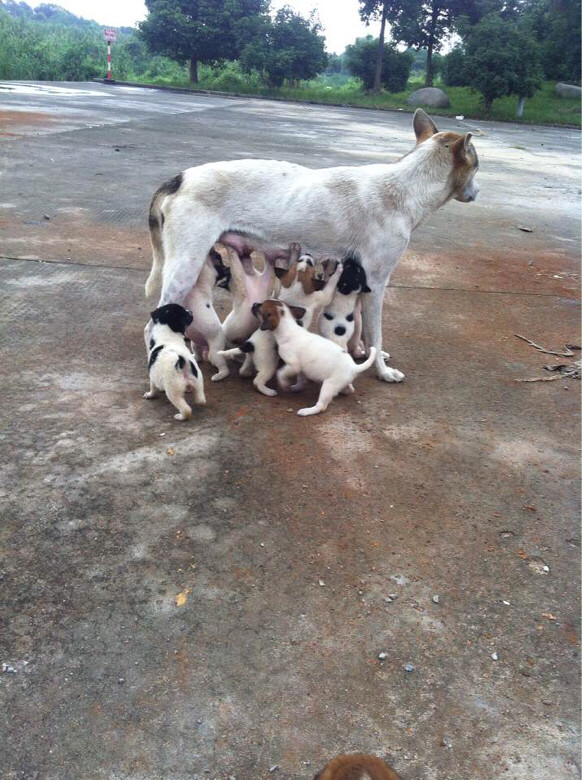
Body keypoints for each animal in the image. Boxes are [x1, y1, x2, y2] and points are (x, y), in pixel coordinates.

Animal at [145, 107, 480, 384]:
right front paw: (382, 370)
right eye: (477, 166)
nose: (478, 192)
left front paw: (364, 352)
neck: (404, 188)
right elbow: (376, 334)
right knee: (151, 327)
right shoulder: (376, 282)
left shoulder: (361, 281)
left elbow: (361, 328)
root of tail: (179, 178)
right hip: (184, 269)